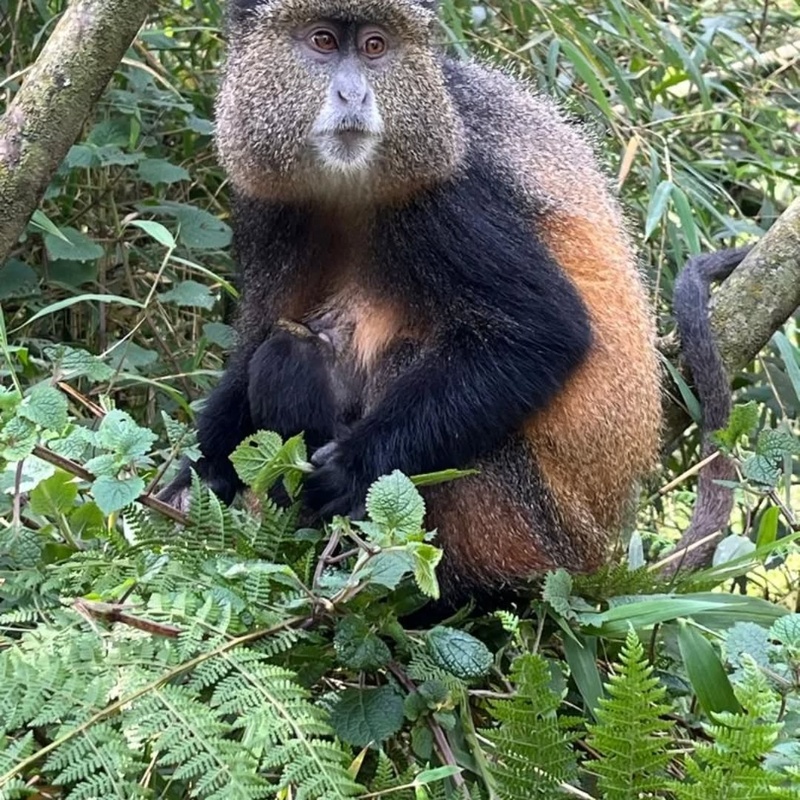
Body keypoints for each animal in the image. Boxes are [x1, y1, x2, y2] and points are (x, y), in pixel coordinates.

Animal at [158, 0, 695, 613]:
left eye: (375, 46)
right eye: (323, 41)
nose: (353, 95)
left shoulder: (448, 194)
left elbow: (543, 334)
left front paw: (348, 471)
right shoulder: (270, 206)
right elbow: (256, 338)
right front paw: (190, 484)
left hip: (524, 524)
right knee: (283, 350)